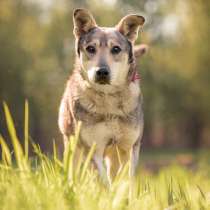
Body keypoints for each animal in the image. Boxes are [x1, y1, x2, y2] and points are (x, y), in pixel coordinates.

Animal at [58, 8, 147, 182]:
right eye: (91, 48)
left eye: (116, 49)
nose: (102, 72)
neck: (108, 98)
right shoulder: (92, 149)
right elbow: (104, 182)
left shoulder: (129, 147)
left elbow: (125, 182)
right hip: (73, 146)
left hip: (114, 156)